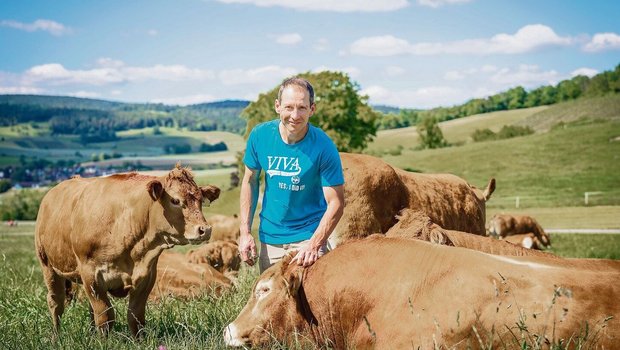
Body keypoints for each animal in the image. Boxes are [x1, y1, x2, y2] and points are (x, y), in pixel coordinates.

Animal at [34, 166, 220, 336]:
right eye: (175, 200)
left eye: (201, 200)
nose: (205, 229)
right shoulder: (90, 274)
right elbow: (105, 316)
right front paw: (103, 342)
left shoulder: (147, 275)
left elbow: (135, 316)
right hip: (48, 267)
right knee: (55, 303)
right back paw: (56, 336)